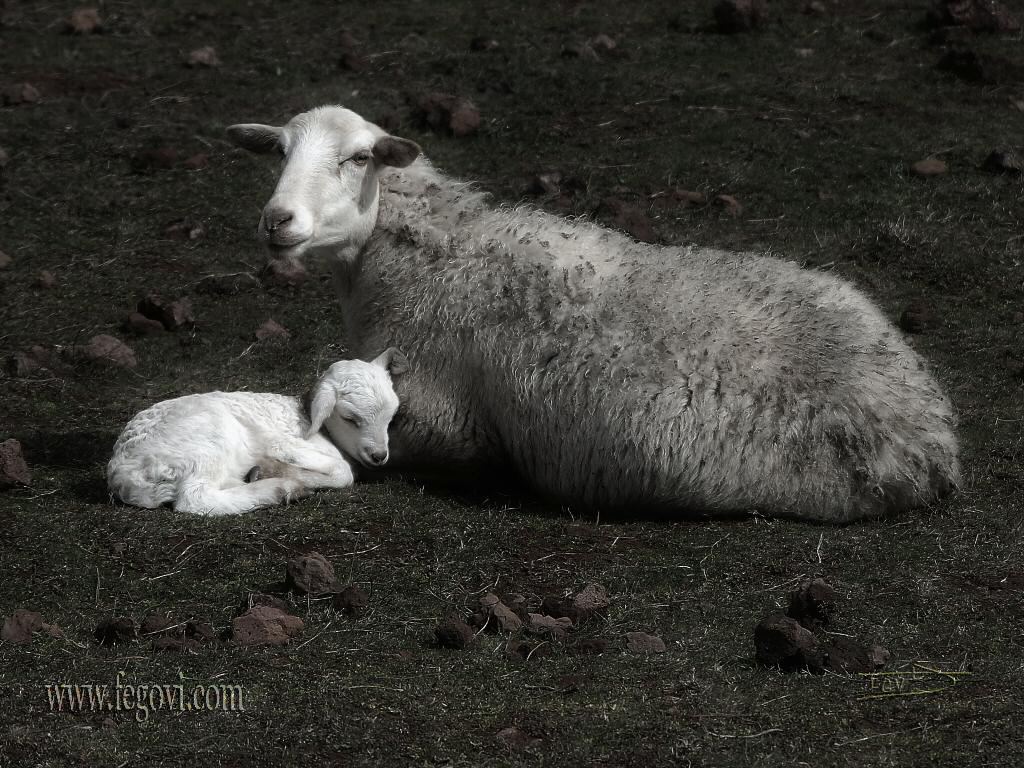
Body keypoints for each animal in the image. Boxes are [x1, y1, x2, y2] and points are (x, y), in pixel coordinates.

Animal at [107, 349, 405, 515]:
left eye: (391, 417)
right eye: (349, 418)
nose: (379, 455)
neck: (307, 416)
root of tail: (123, 475)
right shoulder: (282, 443)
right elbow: (344, 472)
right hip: (207, 441)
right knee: (195, 499)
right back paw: (280, 488)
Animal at [226, 106, 961, 522]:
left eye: (358, 159)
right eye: (280, 152)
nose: (276, 220)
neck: (426, 254)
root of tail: (931, 434)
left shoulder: (443, 425)